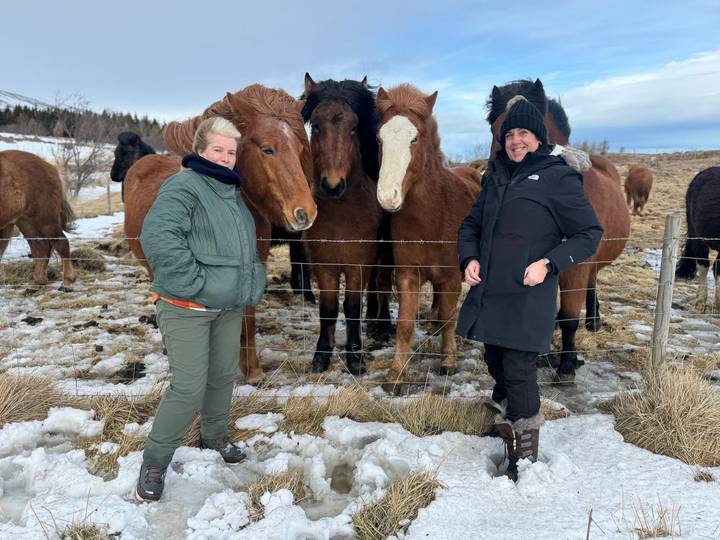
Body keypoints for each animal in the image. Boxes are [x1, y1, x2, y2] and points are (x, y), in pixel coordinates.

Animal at [0, 150, 76, 291]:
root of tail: (51, 167)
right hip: (25, 222)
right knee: (40, 247)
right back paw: (37, 283)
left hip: (45, 221)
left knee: (61, 244)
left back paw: (67, 282)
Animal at [300, 74, 392, 375]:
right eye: (316, 125)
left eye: (353, 127)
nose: (332, 185)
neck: (342, 214)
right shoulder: (324, 265)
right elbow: (328, 308)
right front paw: (321, 355)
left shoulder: (356, 264)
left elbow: (351, 306)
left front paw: (355, 357)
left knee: (382, 287)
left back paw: (382, 327)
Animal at [375, 84, 482, 391]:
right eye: (379, 138)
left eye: (415, 139)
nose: (388, 196)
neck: (433, 215)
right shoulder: (407, 275)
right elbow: (405, 324)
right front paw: (396, 375)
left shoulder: (451, 277)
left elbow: (449, 319)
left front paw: (448, 362)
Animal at [486, 79, 630, 381]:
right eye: (495, 129)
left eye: (524, 130)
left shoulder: (575, 268)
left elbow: (569, 318)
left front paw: (567, 364)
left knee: (592, 283)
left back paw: (594, 321)